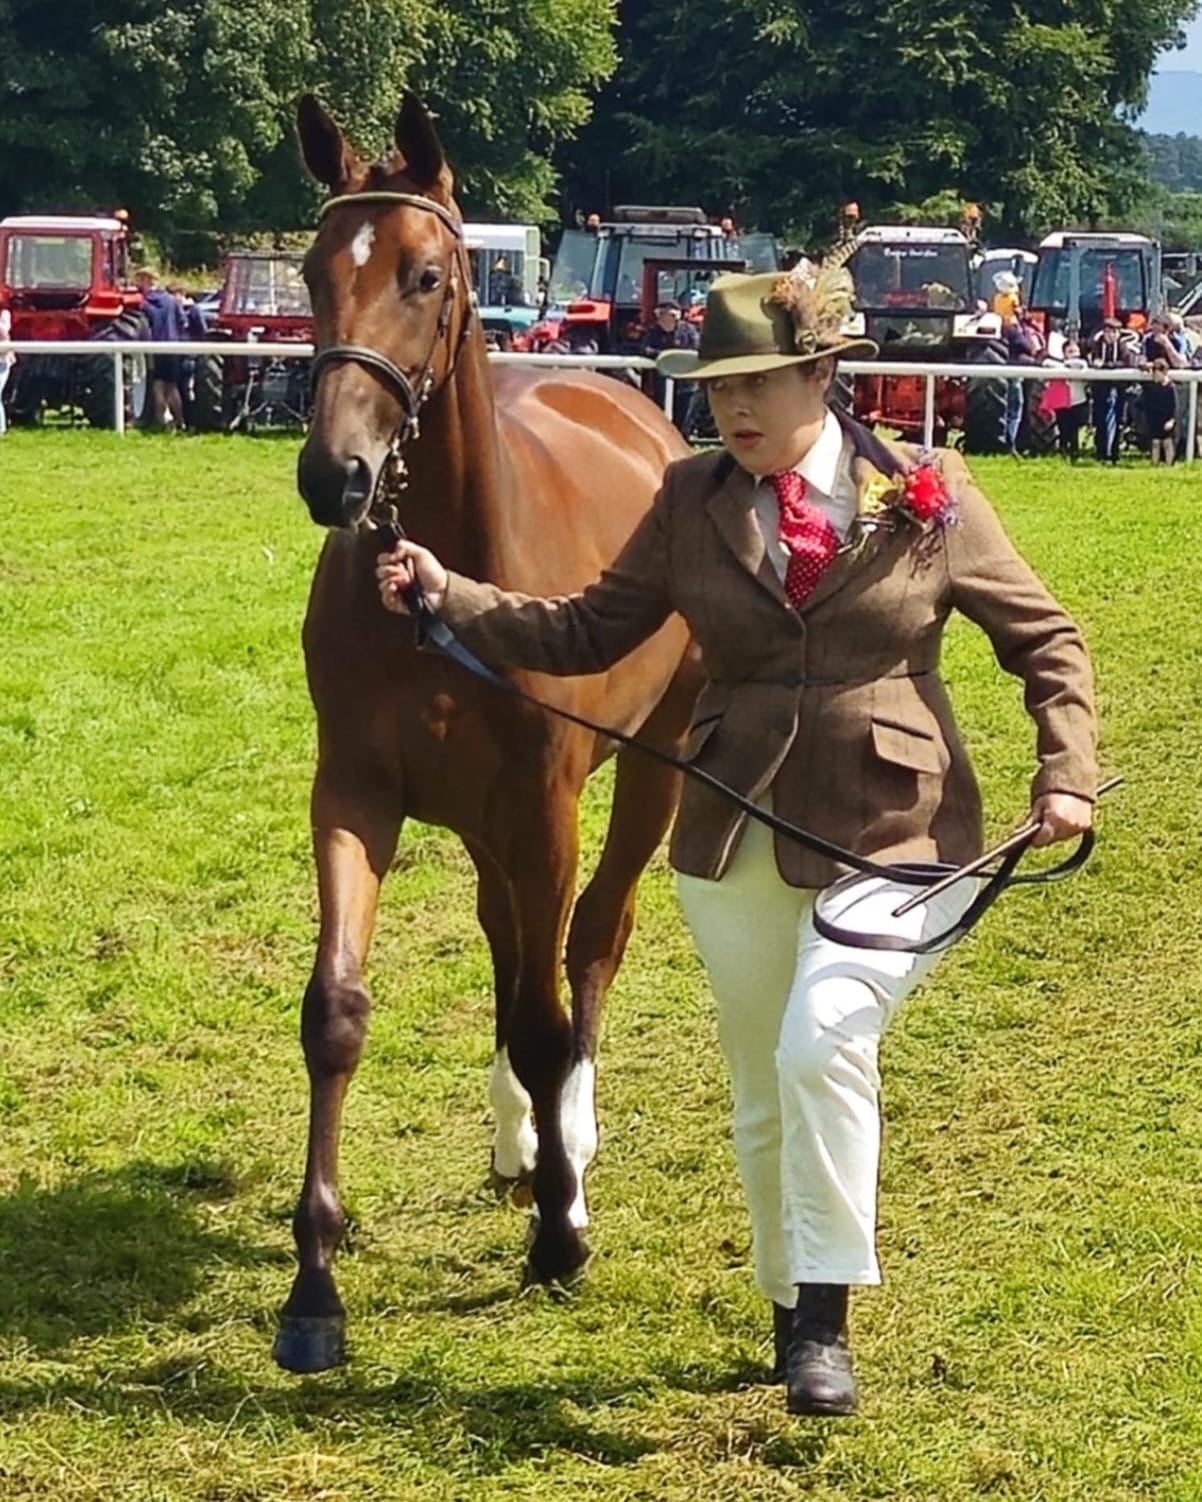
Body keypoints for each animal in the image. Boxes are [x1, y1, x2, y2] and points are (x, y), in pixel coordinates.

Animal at [273, 91, 701, 1374]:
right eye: (313, 270)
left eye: (425, 274)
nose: (334, 475)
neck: (449, 572)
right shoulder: (356, 795)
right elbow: (337, 1012)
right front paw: (313, 1282)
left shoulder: (546, 809)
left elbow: (554, 1010)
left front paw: (559, 1233)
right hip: (478, 819)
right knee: (509, 945)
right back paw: (519, 1140)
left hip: (647, 774)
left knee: (588, 944)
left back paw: (571, 1148)